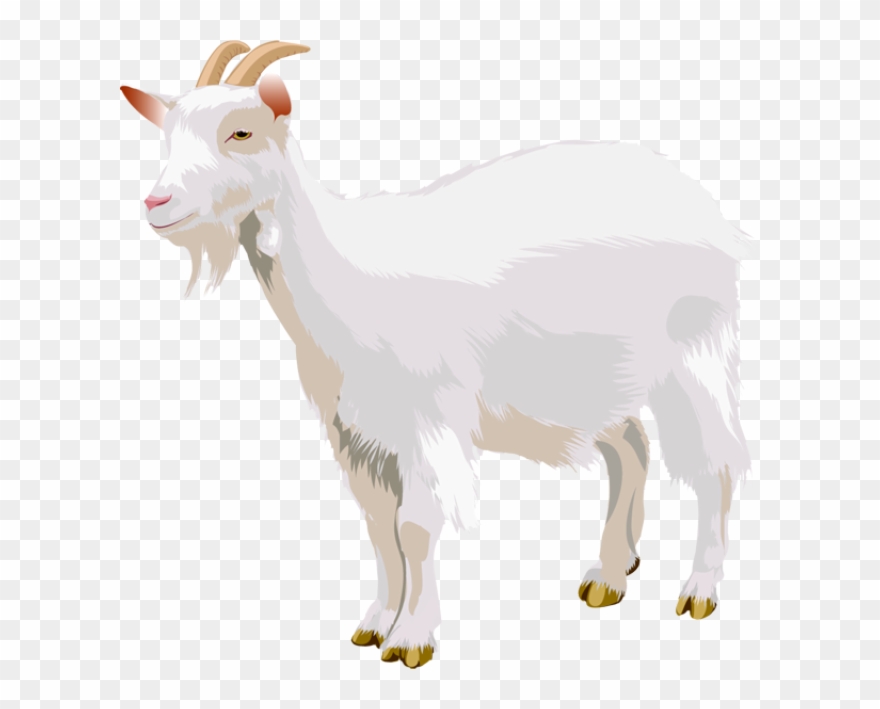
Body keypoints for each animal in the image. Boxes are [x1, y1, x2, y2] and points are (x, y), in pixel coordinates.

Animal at [121, 40, 755, 669]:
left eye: (241, 132)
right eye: (167, 135)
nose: (157, 202)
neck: (344, 275)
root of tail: (699, 199)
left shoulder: (426, 420)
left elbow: (416, 528)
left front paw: (410, 640)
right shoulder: (353, 432)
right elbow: (380, 528)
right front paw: (375, 624)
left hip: (696, 352)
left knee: (717, 461)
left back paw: (699, 590)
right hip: (590, 376)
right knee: (631, 447)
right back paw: (611, 573)